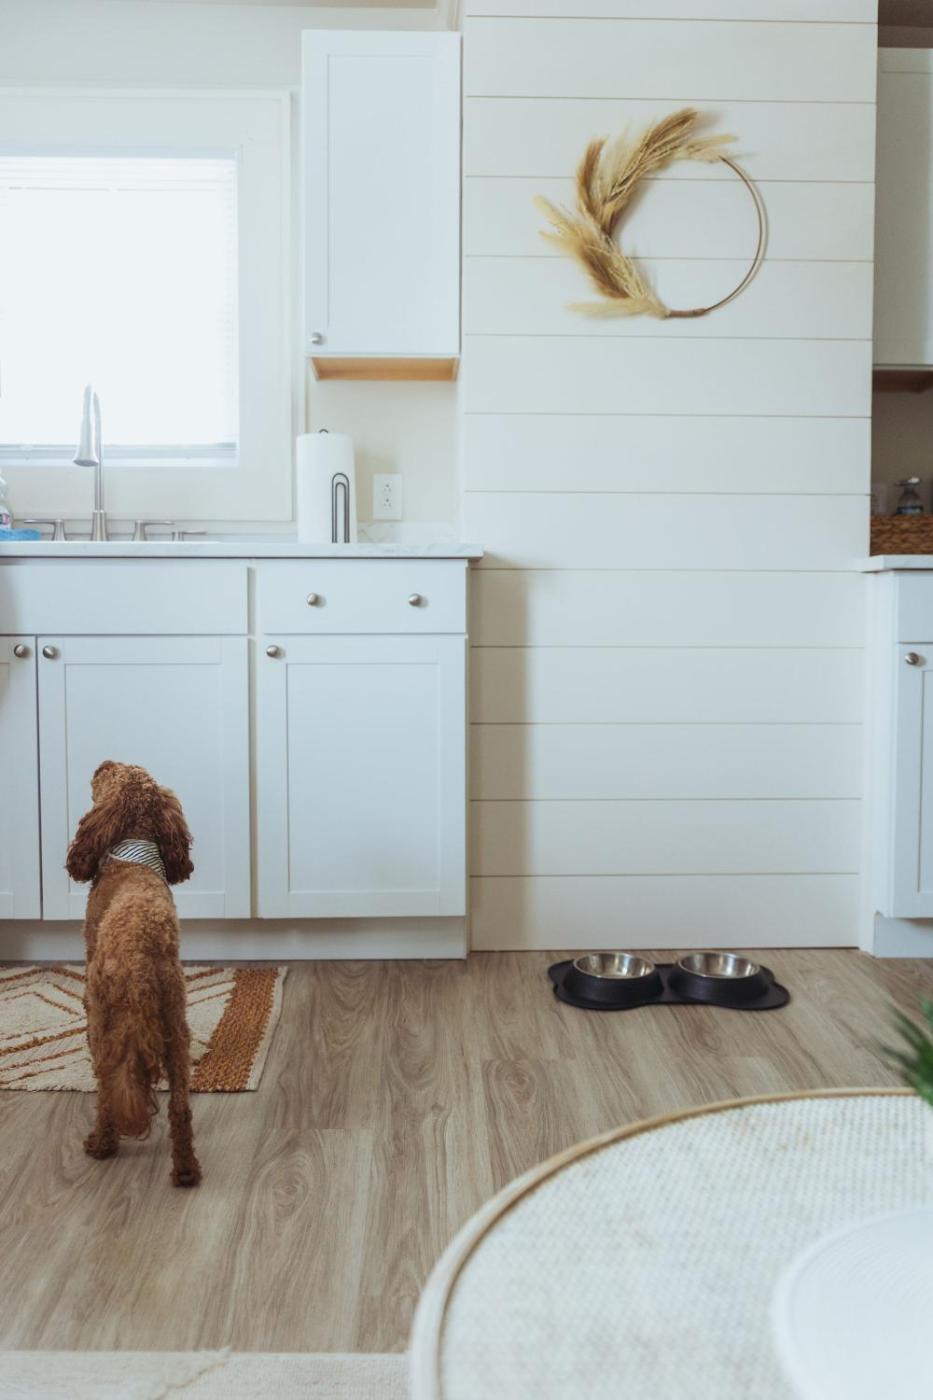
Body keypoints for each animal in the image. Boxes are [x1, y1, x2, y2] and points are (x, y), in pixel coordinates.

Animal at [66, 761, 201, 1186]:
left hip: (105, 1020)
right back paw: (186, 1169)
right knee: (180, 1107)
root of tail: (139, 957)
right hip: (175, 1023)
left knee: (108, 1092)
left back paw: (101, 1144)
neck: (132, 856)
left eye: (106, 777)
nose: (101, 763)